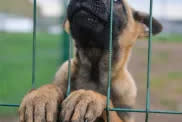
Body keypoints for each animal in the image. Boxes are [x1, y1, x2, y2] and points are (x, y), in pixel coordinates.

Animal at [19, 0, 163, 121]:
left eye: (117, 2)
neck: (94, 71)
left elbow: (107, 103)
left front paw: (87, 96)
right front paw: (40, 96)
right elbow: (51, 87)